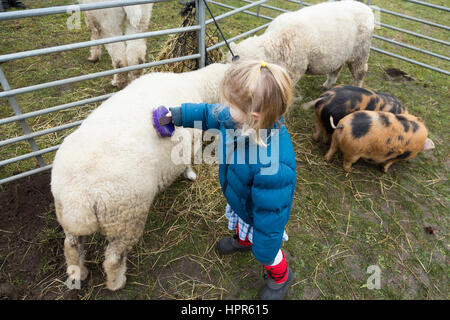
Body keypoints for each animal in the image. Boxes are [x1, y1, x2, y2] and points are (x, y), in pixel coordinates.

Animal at [51, 62, 230, 290]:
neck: (196, 85)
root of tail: (79, 198)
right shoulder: (193, 138)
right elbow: (190, 159)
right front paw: (190, 174)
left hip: (67, 216)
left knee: (72, 248)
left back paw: (79, 273)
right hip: (125, 219)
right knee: (113, 258)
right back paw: (117, 282)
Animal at [227, 0, 374, 94]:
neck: (277, 42)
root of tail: (367, 9)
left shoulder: (294, 71)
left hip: (360, 52)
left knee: (360, 72)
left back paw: (356, 88)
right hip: (341, 53)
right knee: (337, 68)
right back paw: (327, 85)